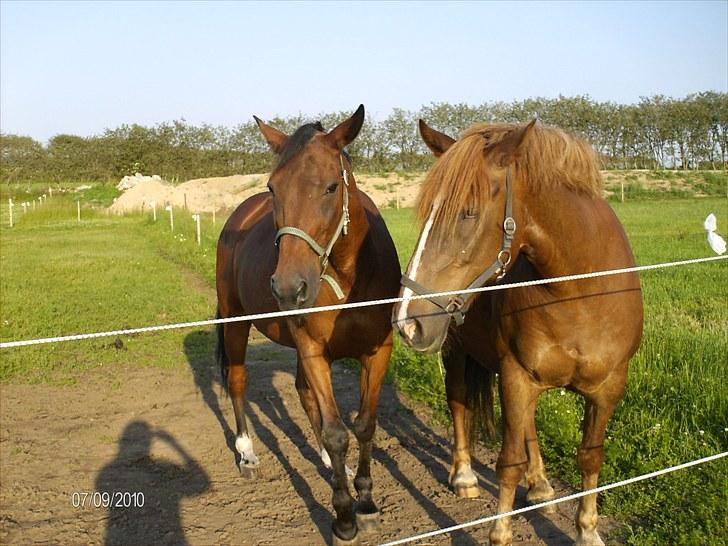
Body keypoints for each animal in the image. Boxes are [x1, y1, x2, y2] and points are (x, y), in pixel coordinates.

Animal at [216, 106, 400, 544]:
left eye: (331, 187)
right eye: (273, 188)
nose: (288, 286)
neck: (351, 277)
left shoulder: (377, 352)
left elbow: (364, 425)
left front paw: (366, 502)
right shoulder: (315, 349)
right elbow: (337, 432)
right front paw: (345, 517)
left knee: (303, 394)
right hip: (235, 322)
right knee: (238, 382)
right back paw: (247, 452)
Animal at [392, 120, 644, 544]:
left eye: (468, 213)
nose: (408, 322)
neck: (580, 292)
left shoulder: (609, 387)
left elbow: (590, 456)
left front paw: (587, 529)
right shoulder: (515, 375)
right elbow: (508, 462)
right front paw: (500, 532)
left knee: (526, 425)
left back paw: (540, 485)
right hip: (459, 354)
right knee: (459, 402)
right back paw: (464, 476)